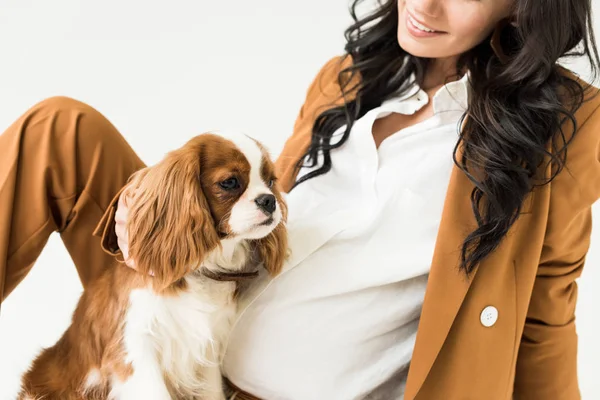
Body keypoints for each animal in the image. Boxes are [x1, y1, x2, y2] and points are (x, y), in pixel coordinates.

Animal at [18, 132, 288, 400]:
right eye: (230, 182)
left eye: (271, 181)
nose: (269, 200)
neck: (198, 270)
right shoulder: (136, 348)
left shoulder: (206, 351)